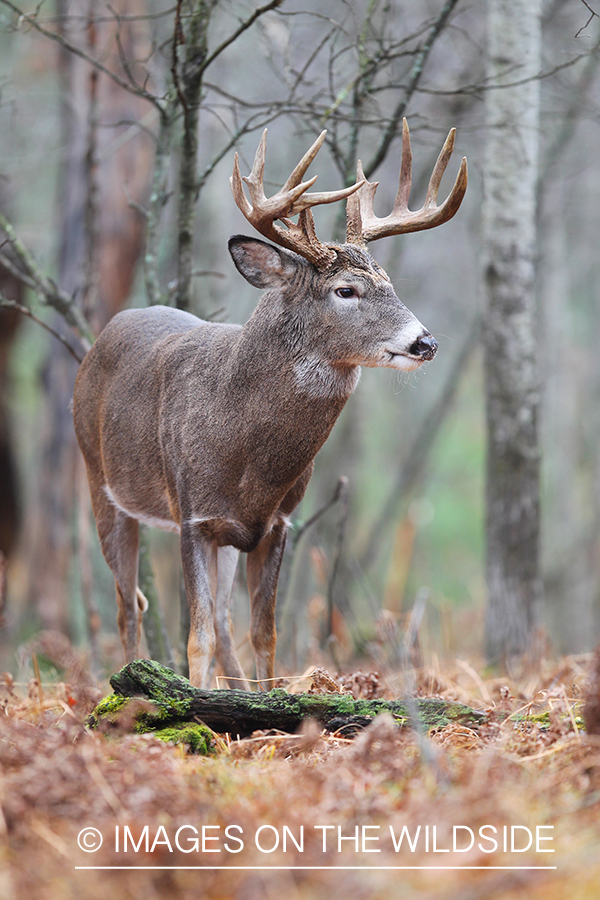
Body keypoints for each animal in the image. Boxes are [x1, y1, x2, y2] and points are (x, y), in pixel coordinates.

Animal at [74, 119, 468, 688]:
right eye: (345, 290)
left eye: (390, 283)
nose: (425, 342)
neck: (245, 450)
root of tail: (104, 335)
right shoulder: (193, 515)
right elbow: (197, 637)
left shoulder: (277, 522)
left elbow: (262, 633)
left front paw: (262, 700)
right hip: (100, 482)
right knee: (132, 605)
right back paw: (129, 685)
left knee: (217, 616)